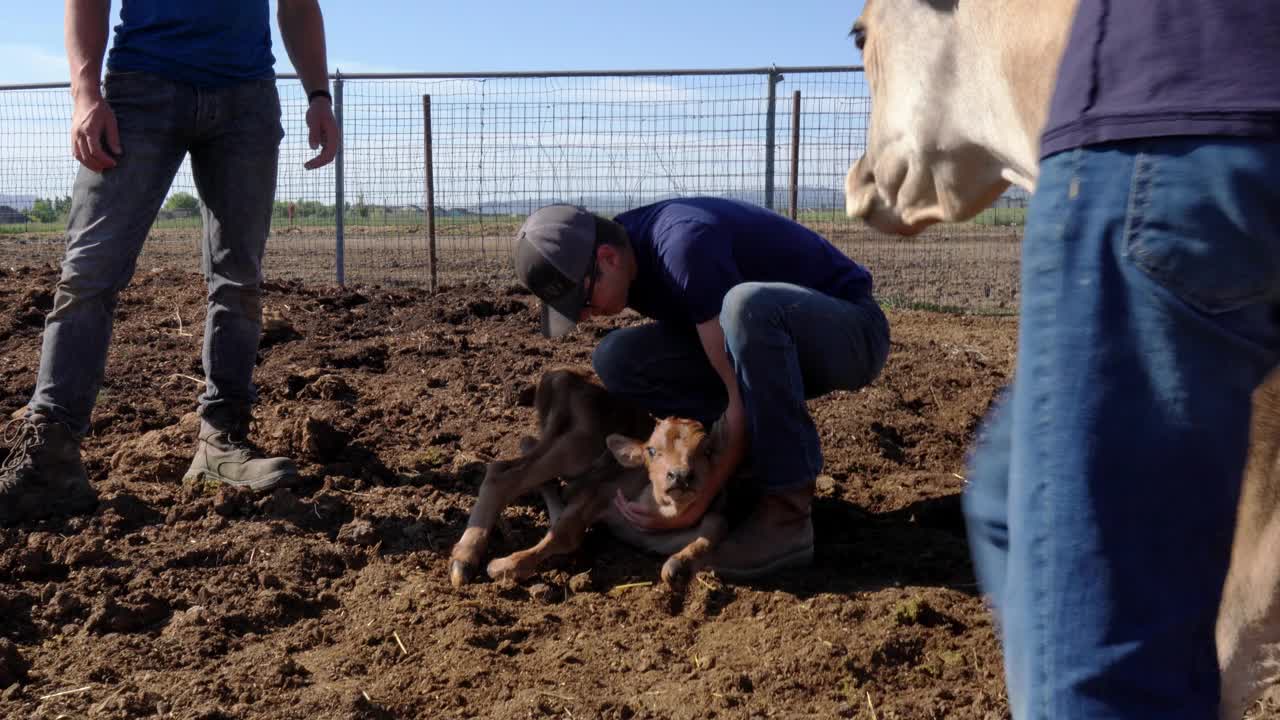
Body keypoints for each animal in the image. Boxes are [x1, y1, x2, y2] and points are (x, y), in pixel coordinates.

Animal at [450, 368, 732, 589]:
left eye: (707, 451)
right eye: (652, 450)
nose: (680, 475)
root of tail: (562, 376)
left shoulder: (653, 534)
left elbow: (715, 527)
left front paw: (678, 566)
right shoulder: (599, 490)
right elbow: (565, 533)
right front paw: (505, 565)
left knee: (525, 449)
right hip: (575, 448)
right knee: (504, 474)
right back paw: (464, 559)